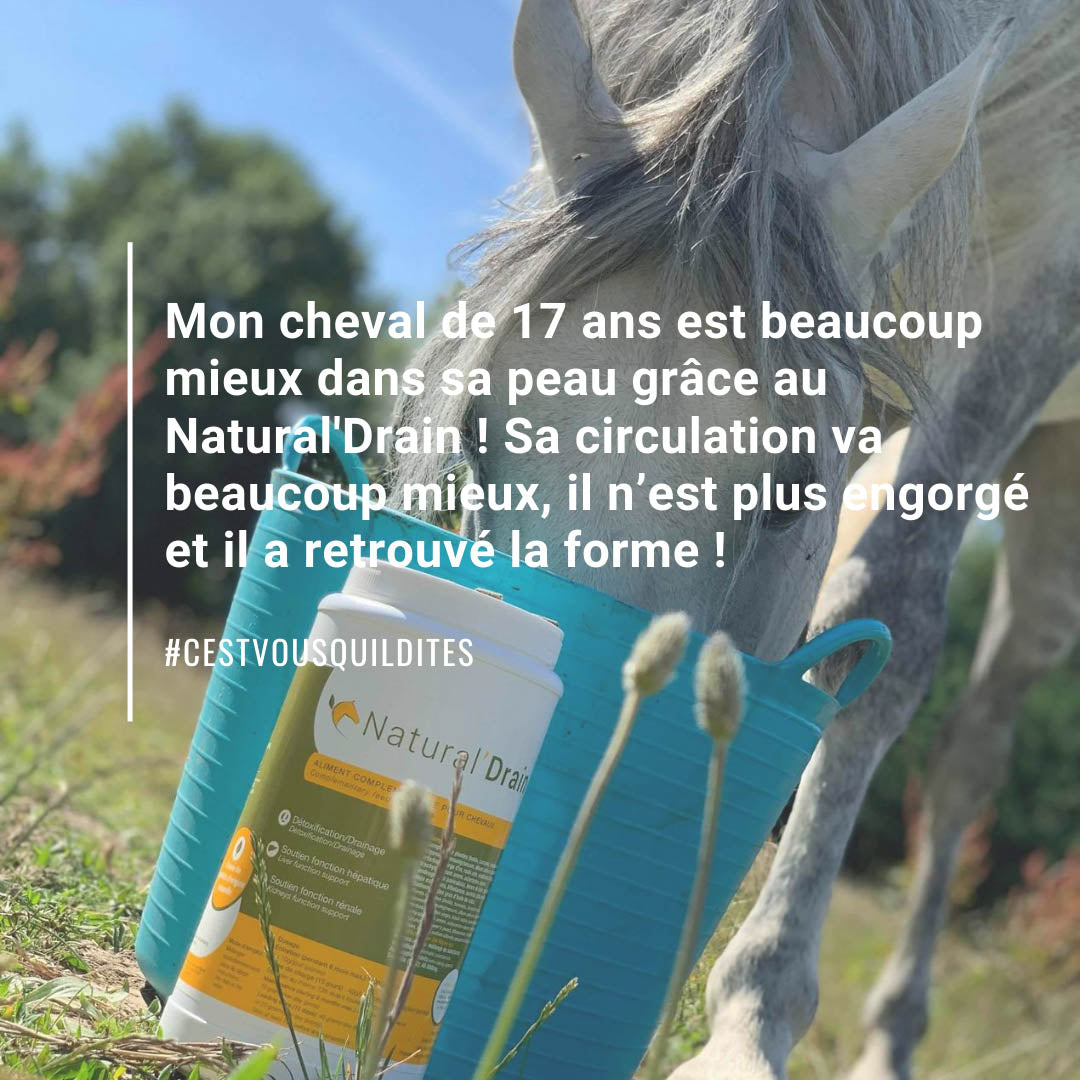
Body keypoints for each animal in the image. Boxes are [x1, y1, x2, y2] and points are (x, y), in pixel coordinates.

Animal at [391, 1, 1080, 1076]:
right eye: (473, 429)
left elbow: (884, 622)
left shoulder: (1039, 281)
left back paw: (890, 1038)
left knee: (971, 753)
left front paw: (750, 1021)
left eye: (790, 487)